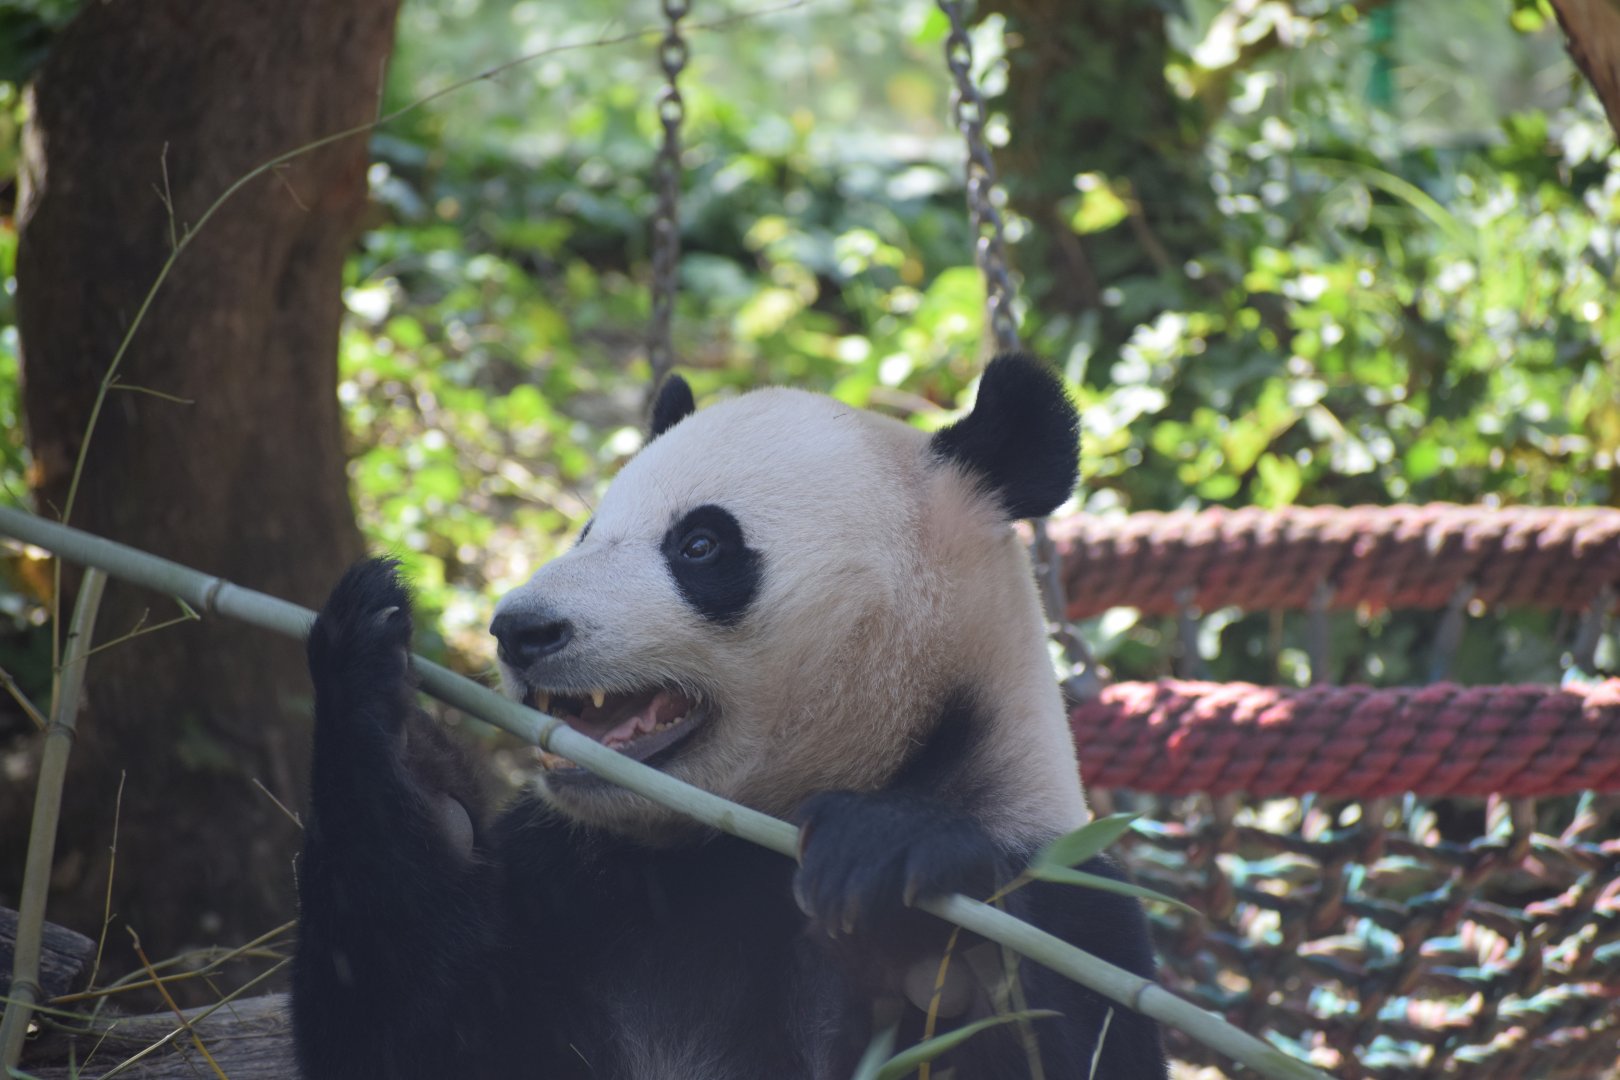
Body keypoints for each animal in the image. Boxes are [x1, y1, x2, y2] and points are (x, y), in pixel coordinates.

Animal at [292, 353, 1167, 1079]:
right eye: (586, 532)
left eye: (701, 544)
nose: (522, 629)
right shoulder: (567, 882)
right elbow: (409, 1042)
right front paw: (393, 712)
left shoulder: (1064, 879)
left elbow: (1063, 1028)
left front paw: (899, 890)